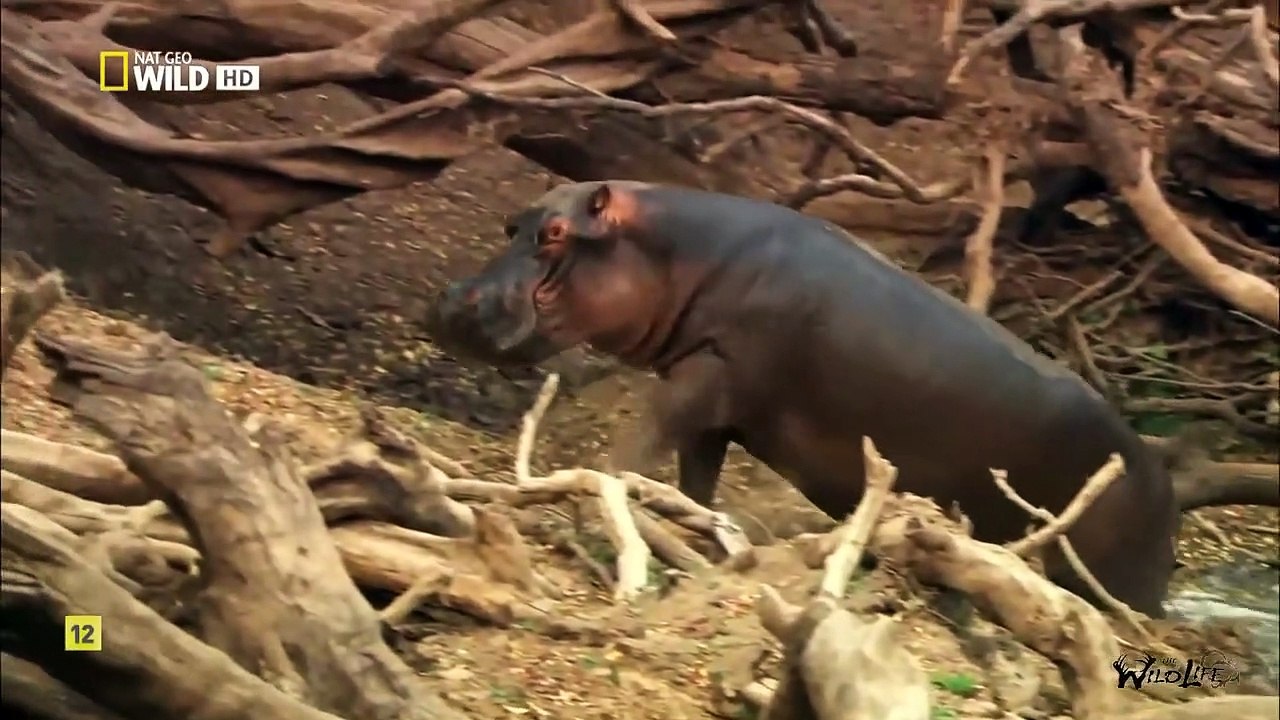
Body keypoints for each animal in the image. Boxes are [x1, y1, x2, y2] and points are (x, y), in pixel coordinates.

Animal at [426, 180, 1180, 616]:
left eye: (556, 233)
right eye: (512, 224)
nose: (449, 301)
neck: (673, 249)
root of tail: (1162, 480)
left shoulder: (706, 373)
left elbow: (634, 447)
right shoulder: (718, 405)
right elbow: (695, 479)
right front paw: (701, 536)